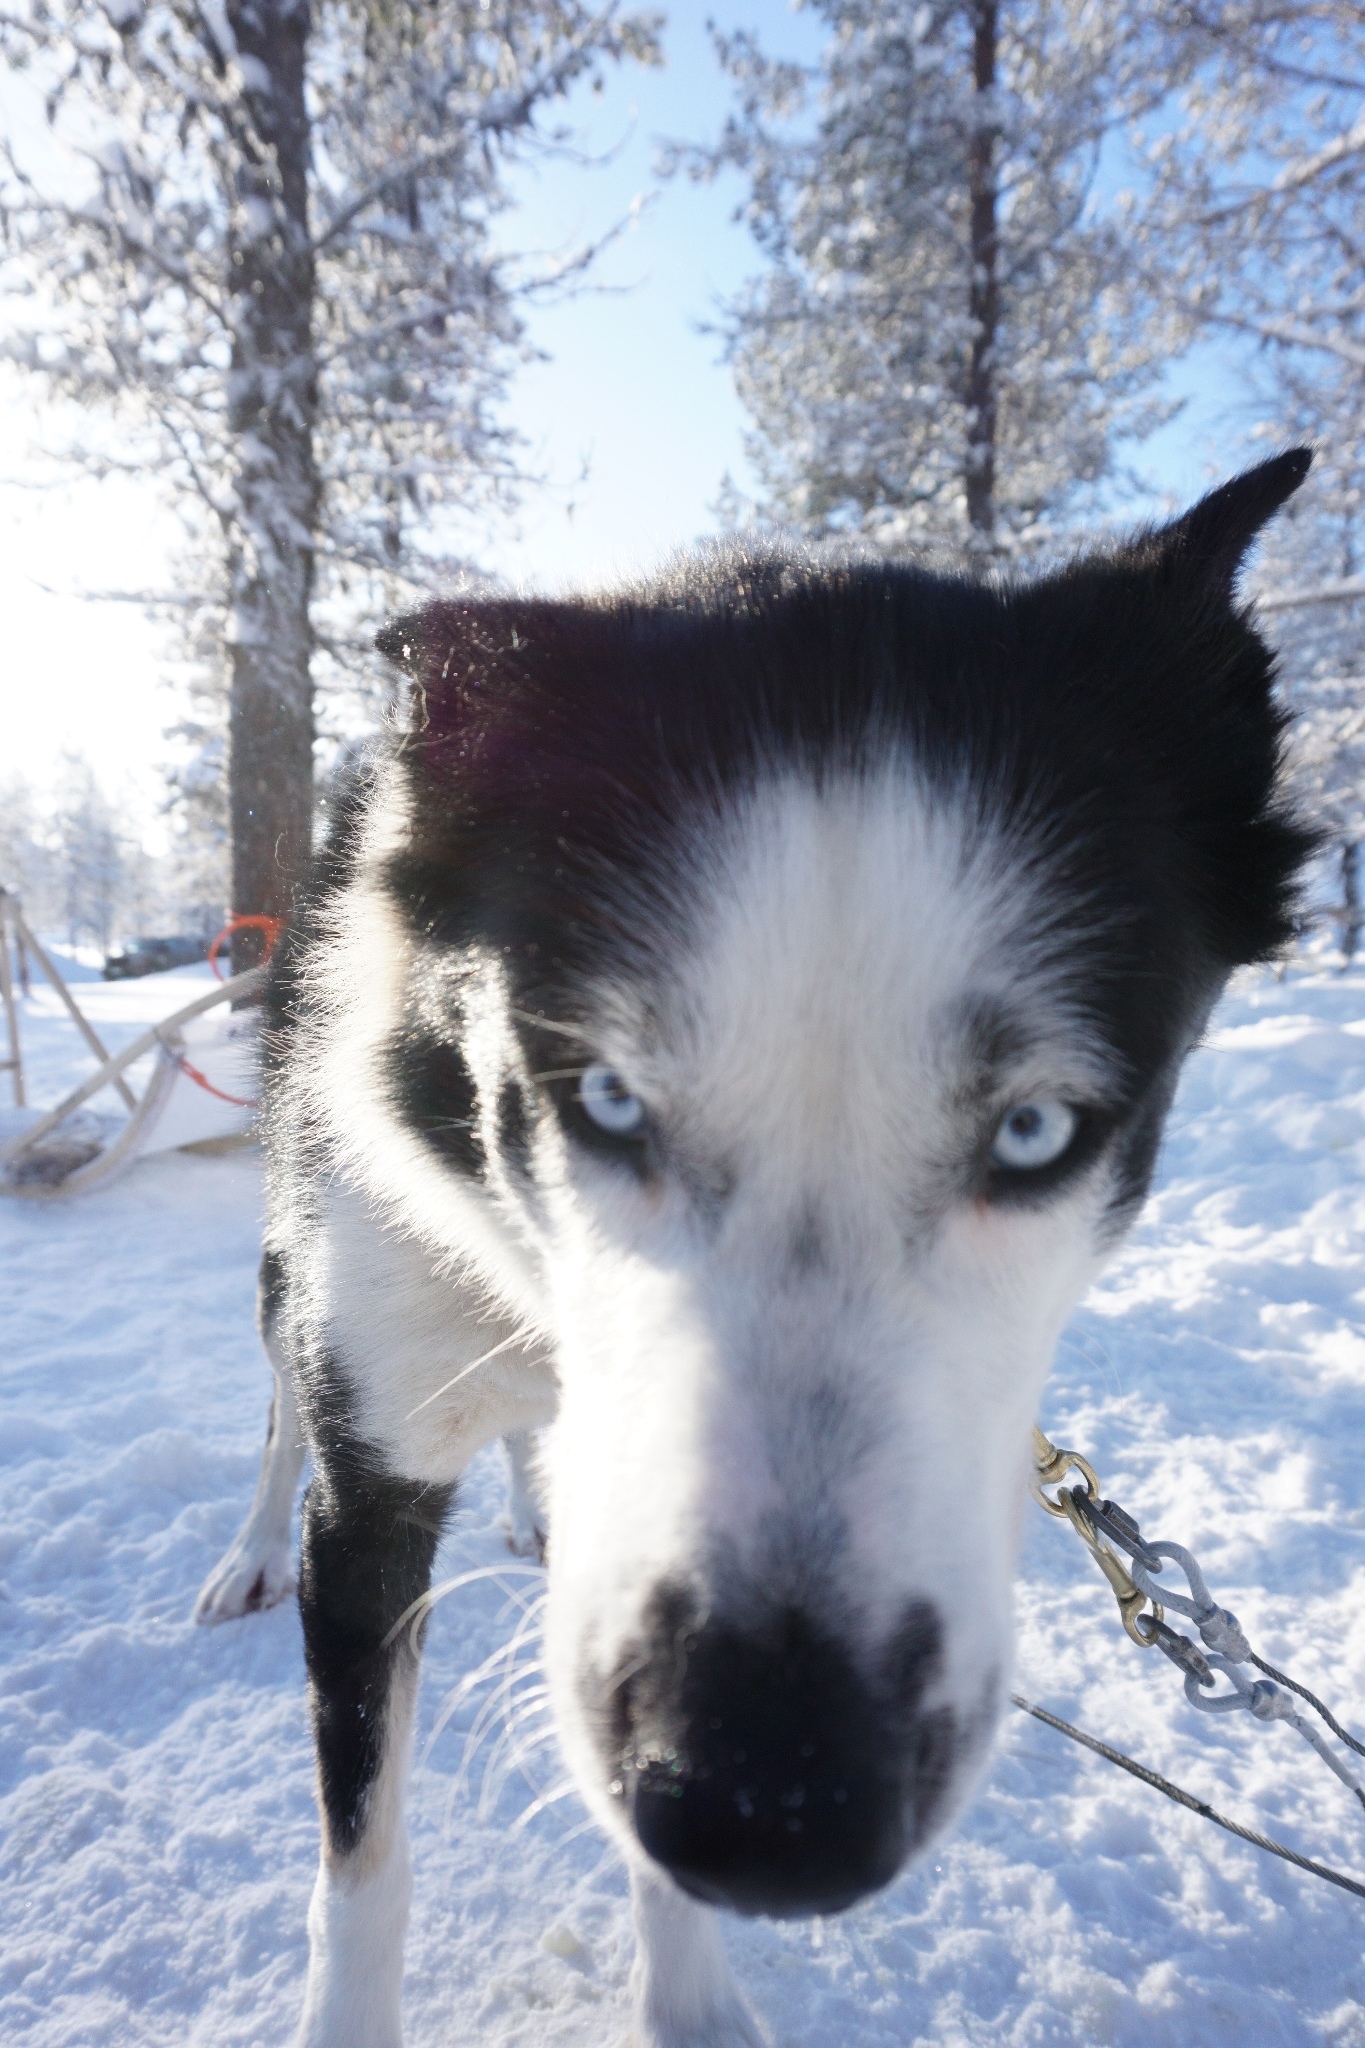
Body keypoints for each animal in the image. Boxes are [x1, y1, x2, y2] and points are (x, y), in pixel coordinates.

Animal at [197, 456, 1317, 2048]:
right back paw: (246, 1545)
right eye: (604, 1097)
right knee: (283, 1416)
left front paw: (691, 1996)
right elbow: (363, 1865)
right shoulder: (371, 1514)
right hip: (298, 1286)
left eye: (1038, 1130)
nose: (773, 1807)